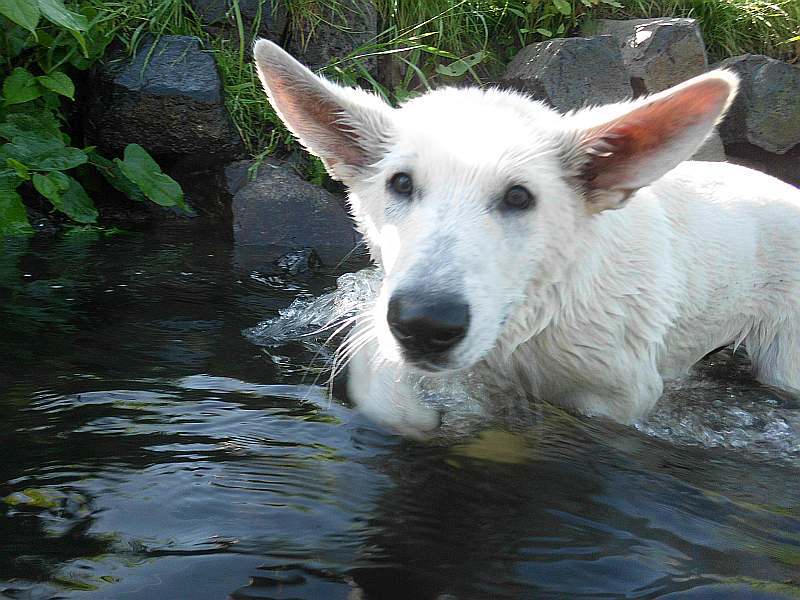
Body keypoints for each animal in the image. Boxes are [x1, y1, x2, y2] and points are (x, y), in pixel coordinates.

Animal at [253, 39, 800, 438]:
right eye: (401, 183)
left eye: (519, 197)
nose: (425, 325)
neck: (533, 318)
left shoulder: (621, 398)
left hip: (785, 357)